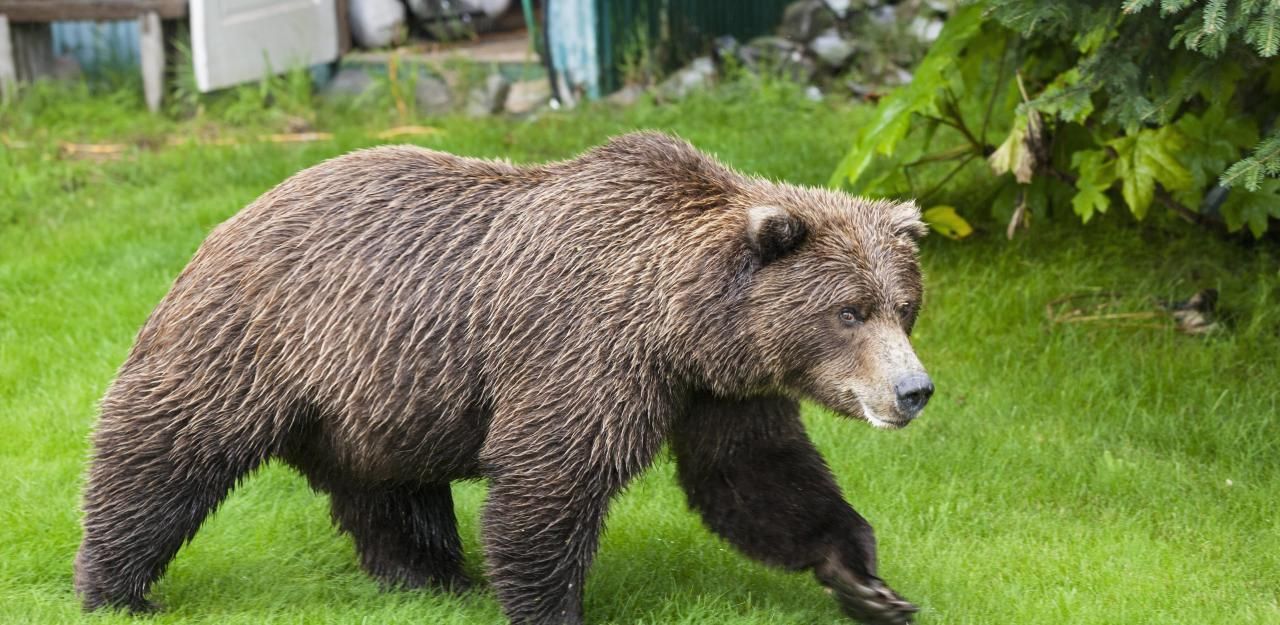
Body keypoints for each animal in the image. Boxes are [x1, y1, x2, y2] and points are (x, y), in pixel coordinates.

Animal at [74, 131, 933, 625]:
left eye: (905, 306)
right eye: (849, 311)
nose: (913, 391)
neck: (680, 324)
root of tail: (233, 215)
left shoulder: (720, 391)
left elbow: (756, 480)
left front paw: (866, 581)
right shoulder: (584, 352)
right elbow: (548, 480)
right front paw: (551, 606)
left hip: (377, 393)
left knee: (388, 488)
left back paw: (428, 576)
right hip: (258, 338)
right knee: (166, 447)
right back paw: (115, 585)